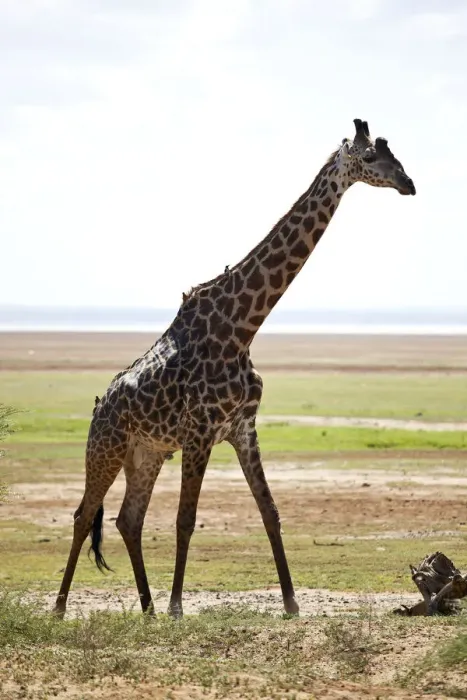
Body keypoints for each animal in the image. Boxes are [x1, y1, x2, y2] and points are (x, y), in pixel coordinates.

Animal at [54, 119, 415, 619]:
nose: (409, 183)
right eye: (368, 158)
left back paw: (146, 608)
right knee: (84, 513)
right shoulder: (201, 431)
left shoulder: (242, 427)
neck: (242, 327)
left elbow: (270, 512)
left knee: (129, 519)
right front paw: (177, 608)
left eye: (393, 153)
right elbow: (186, 519)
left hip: (146, 454)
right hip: (105, 447)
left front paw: (291, 603)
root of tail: (98, 406)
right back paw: (62, 608)